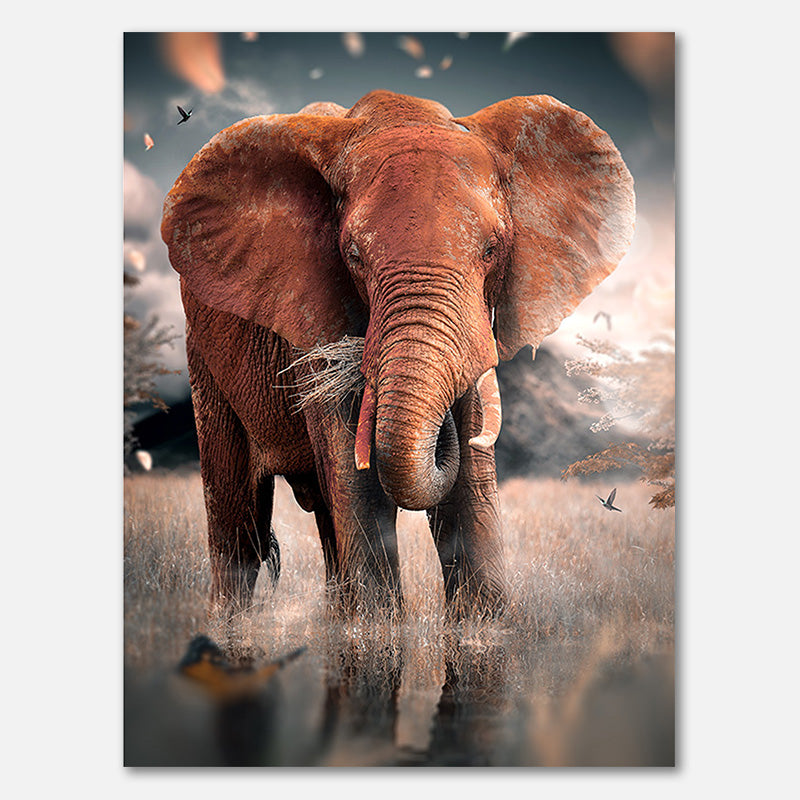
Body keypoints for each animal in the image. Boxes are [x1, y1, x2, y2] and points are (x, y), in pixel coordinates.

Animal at [161, 89, 635, 616]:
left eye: (492, 250)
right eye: (353, 256)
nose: (444, 434)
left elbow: (468, 481)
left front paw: (482, 627)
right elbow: (358, 481)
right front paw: (376, 630)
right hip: (203, 356)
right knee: (238, 516)